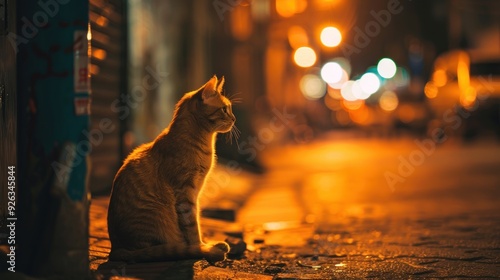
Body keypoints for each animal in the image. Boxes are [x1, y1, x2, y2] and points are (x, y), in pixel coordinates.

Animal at [107, 76, 234, 262]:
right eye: (225, 109)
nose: (234, 119)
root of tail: (116, 248)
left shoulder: (195, 192)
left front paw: (205, 245)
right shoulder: (185, 193)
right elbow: (192, 227)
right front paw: (202, 248)